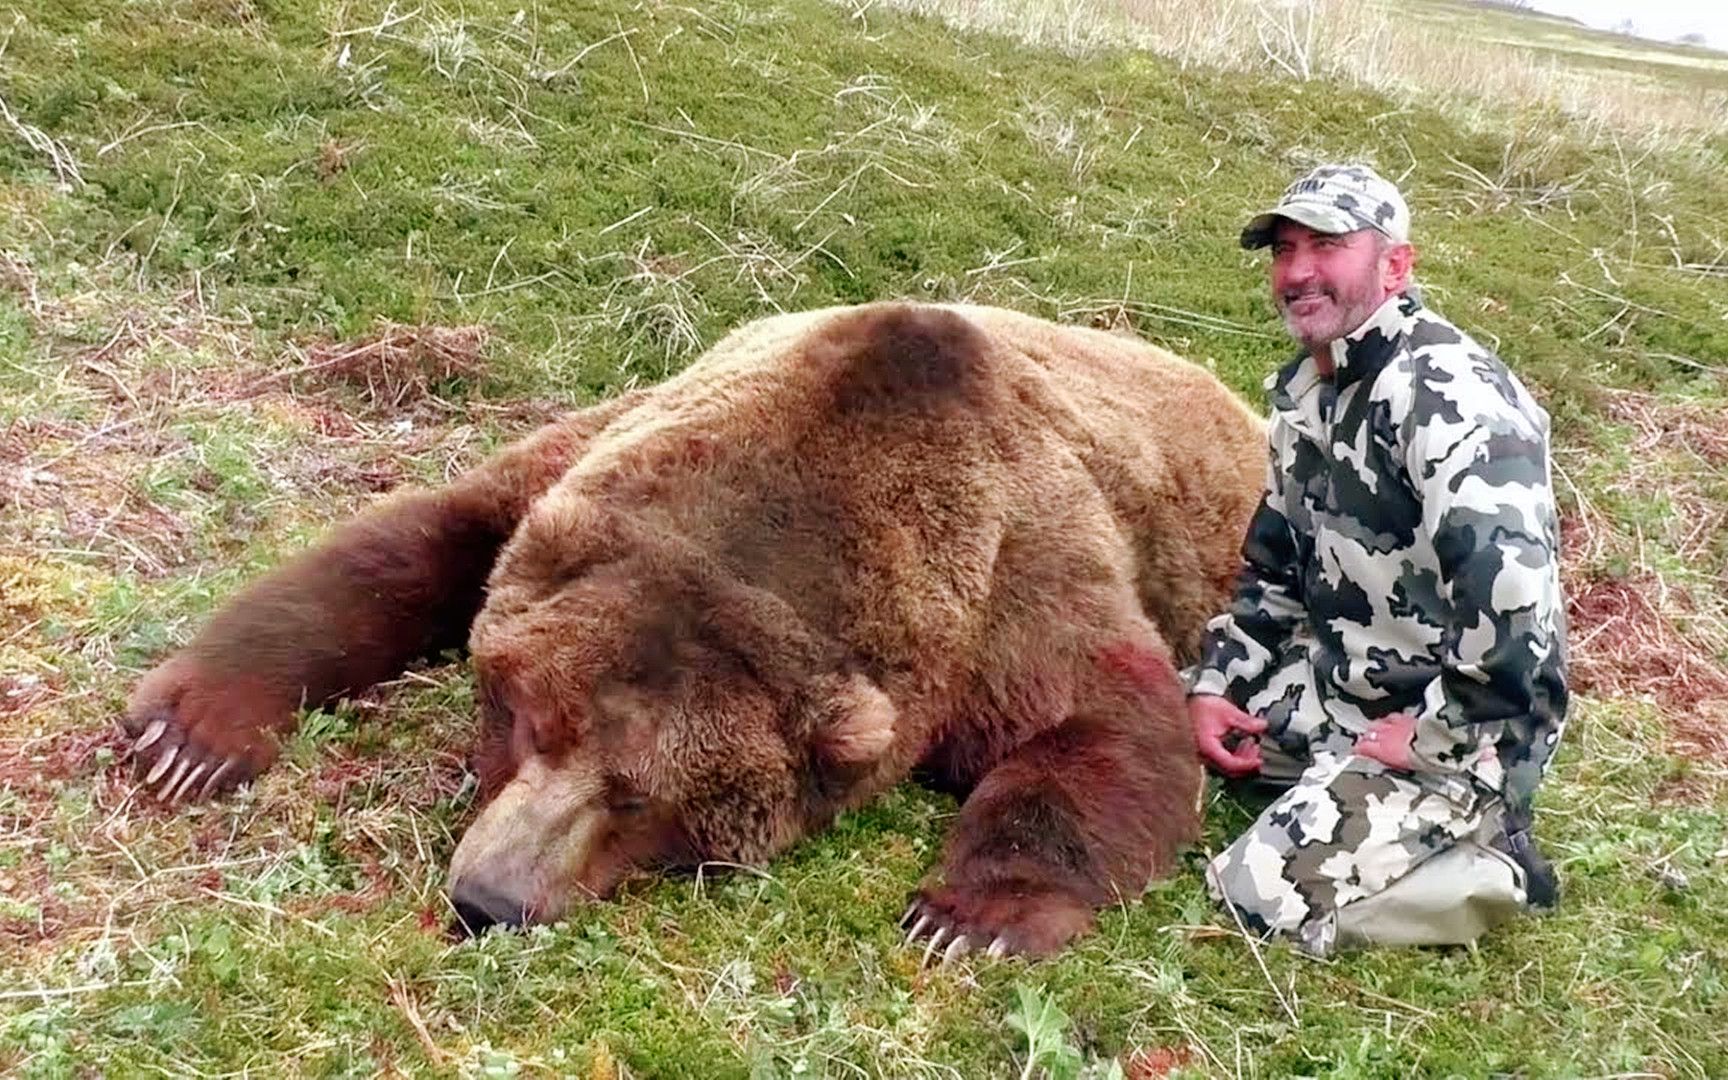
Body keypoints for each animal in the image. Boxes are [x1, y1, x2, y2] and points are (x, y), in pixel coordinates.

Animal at [118, 298, 1257, 953]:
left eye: (638, 796)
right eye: (527, 719)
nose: (488, 901)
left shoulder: (1010, 576)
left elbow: (1107, 719)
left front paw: (969, 919)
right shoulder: (605, 463)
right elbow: (421, 543)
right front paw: (186, 737)